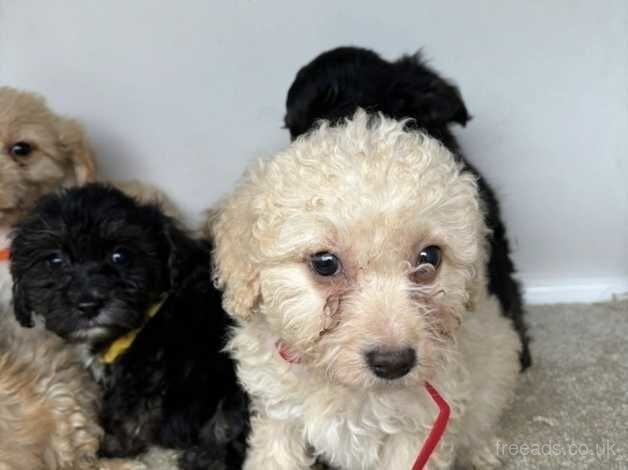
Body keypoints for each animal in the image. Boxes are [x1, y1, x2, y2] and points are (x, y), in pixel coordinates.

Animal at [9, 184, 249, 470]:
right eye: (54, 261)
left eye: (120, 256)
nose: (88, 304)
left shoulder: (149, 378)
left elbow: (129, 420)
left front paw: (106, 450)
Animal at [211, 112, 520, 468]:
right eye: (325, 263)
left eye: (430, 257)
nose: (394, 362)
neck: (347, 389)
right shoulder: (280, 414)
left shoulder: (418, 429)